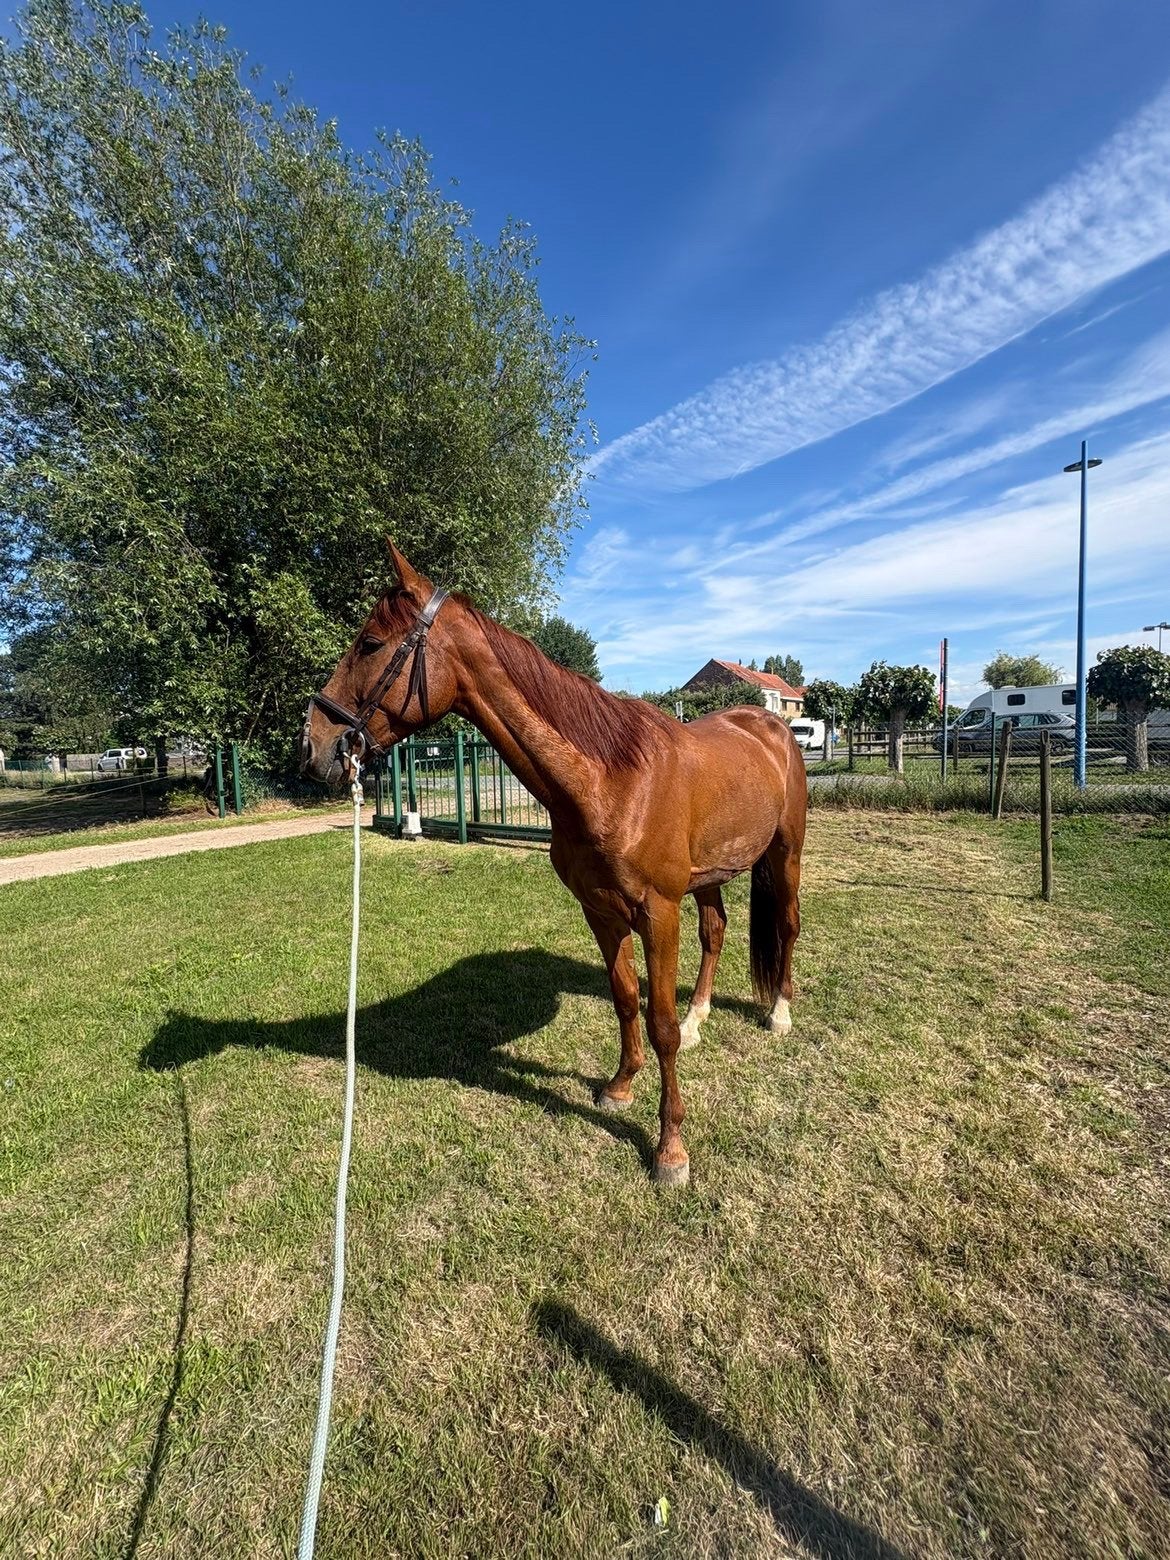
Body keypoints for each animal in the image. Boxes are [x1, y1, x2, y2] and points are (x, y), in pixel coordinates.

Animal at [300, 543, 807, 1186]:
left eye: (369, 643)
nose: (312, 745)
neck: (613, 780)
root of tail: (772, 725)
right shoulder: (601, 911)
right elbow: (625, 999)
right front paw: (619, 1087)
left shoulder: (657, 913)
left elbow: (659, 1024)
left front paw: (670, 1149)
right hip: (708, 877)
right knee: (714, 932)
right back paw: (700, 1019)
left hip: (785, 855)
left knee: (786, 926)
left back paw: (780, 1013)